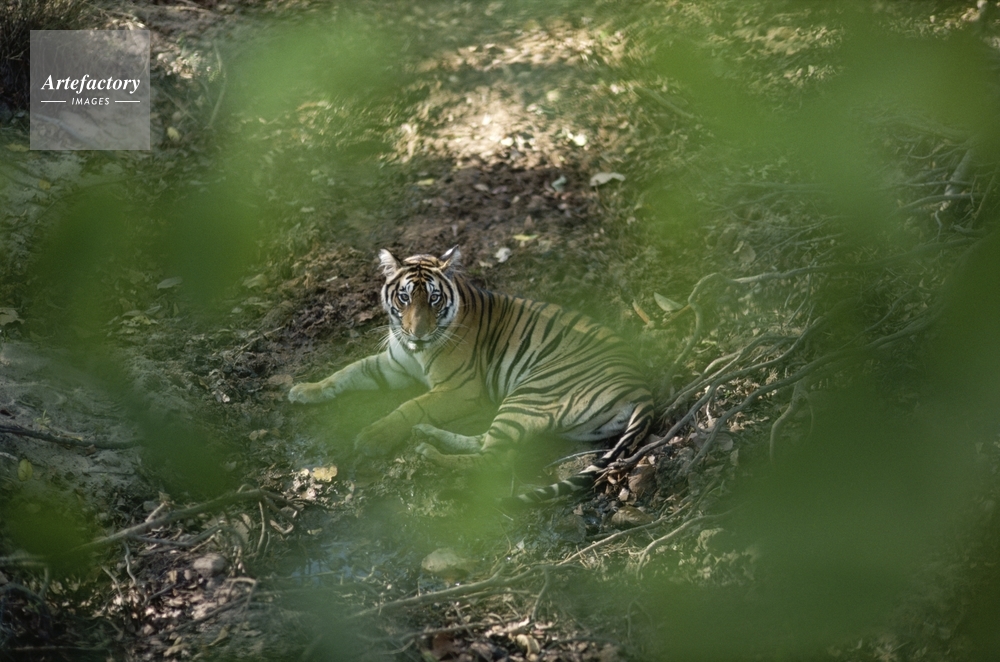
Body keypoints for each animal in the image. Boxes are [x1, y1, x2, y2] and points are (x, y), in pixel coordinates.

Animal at [288, 246, 654, 505]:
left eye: (434, 298)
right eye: (404, 297)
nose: (417, 333)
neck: (414, 351)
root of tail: (641, 387)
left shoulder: (459, 389)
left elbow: (410, 406)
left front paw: (374, 436)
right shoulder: (391, 366)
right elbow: (346, 372)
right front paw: (303, 390)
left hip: (532, 392)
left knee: (495, 459)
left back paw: (429, 454)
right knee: (485, 443)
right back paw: (428, 435)